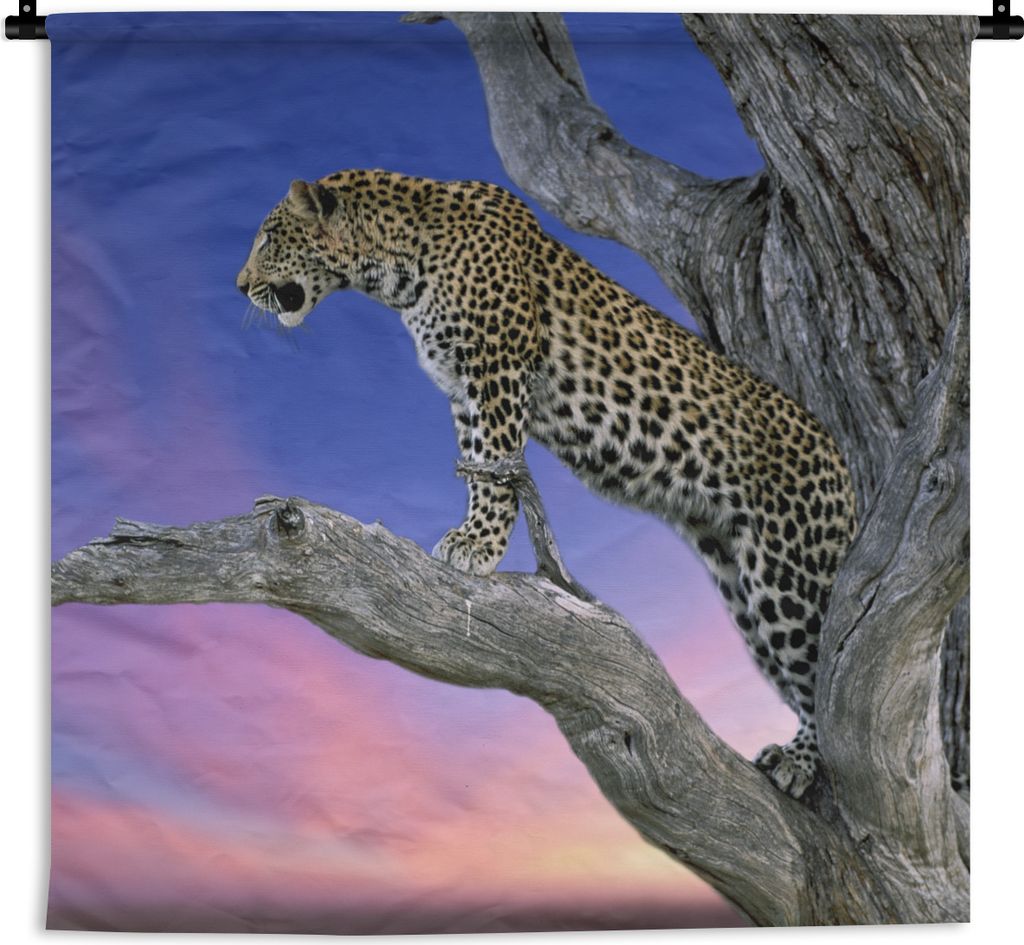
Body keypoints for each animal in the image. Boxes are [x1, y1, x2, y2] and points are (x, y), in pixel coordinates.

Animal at [237, 169, 857, 799]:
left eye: (268, 238)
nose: (240, 287)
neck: (395, 263)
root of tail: (841, 459)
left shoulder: (498, 368)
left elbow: (497, 465)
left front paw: (478, 546)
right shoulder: (464, 389)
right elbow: (478, 463)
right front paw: (472, 536)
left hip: (789, 572)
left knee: (821, 673)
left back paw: (800, 759)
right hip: (741, 586)